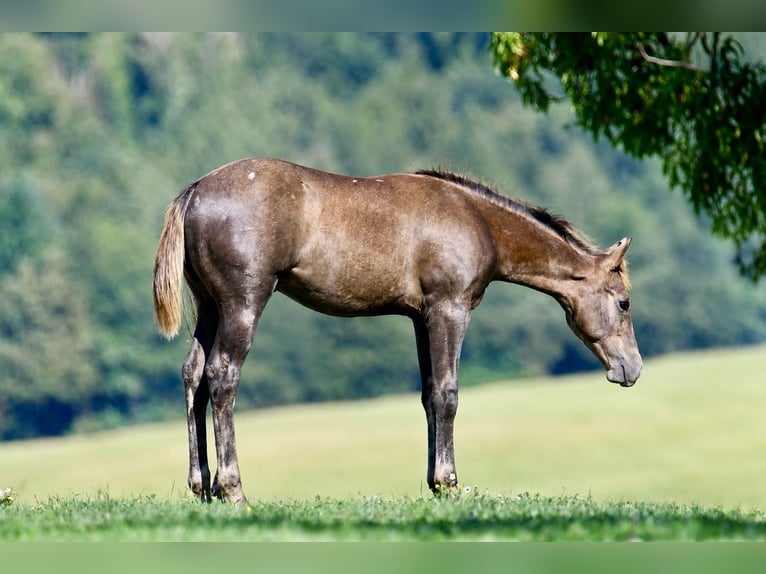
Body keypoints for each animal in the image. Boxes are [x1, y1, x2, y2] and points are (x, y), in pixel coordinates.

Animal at [152, 157, 642, 507]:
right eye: (624, 302)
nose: (632, 369)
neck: (475, 219)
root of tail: (195, 192)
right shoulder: (449, 309)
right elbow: (447, 393)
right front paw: (450, 483)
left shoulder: (420, 317)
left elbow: (428, 395)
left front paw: (434, 484)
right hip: (243, 305)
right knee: (222, 376)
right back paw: (232, 490)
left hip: (210, 308)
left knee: (194, 376)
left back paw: (201, 486)